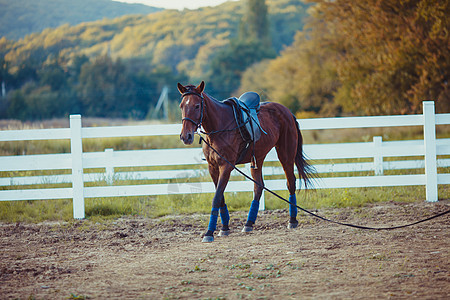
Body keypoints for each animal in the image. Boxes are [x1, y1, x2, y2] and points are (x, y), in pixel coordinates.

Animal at [178, 81, 312, 243]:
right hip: (258, 158)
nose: (185, 136)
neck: (220, 126)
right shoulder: (213, 167)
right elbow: (220, 197)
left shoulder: (226, 167)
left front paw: (209, 232)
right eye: (181, 106)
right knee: (258, 186)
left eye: (197, 106)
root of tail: (287, 112)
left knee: (290, 182)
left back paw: (292, 220)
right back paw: (248, 223)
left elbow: (216, 197)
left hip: (286, 154)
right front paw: (224, 228)